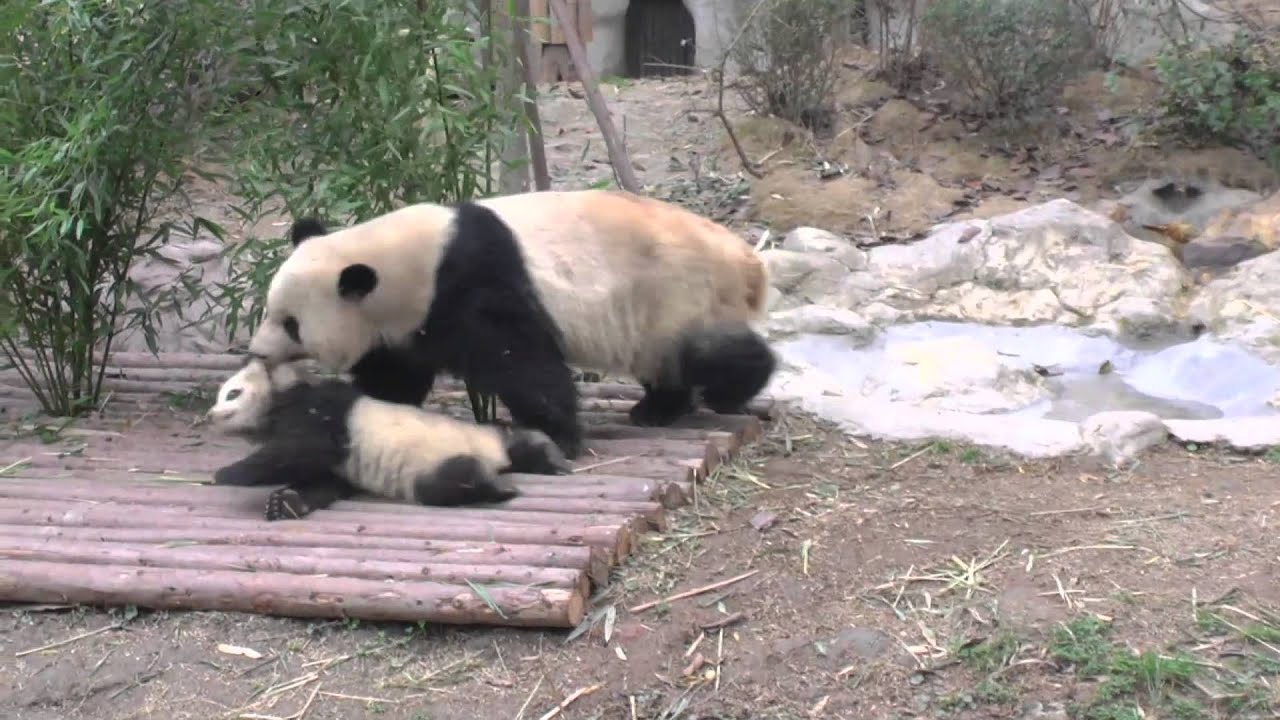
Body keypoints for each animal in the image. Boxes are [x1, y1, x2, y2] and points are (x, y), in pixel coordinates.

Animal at [204, 357, 572, 521]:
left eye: (233, 393)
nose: (210, 416)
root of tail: (494, 458)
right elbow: (324, 481)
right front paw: (285, 503)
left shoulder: (321, 412)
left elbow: (303, 448)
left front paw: (228, 474)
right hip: (481, 444)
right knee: (510, 447)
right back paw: (546, 462)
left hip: (437, 457)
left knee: (454, 478)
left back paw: (502, 484)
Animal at [244, 189, 778, 460]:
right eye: (268, 309)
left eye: (291, 324)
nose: (257, 352)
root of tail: (749, 262)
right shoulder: (406, 322)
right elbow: (394, 374)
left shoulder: (470, 283)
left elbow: (520, 361)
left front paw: (556, 434)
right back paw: (660, 408)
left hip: (678, 293)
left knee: (701, 352)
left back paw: (729, 389)